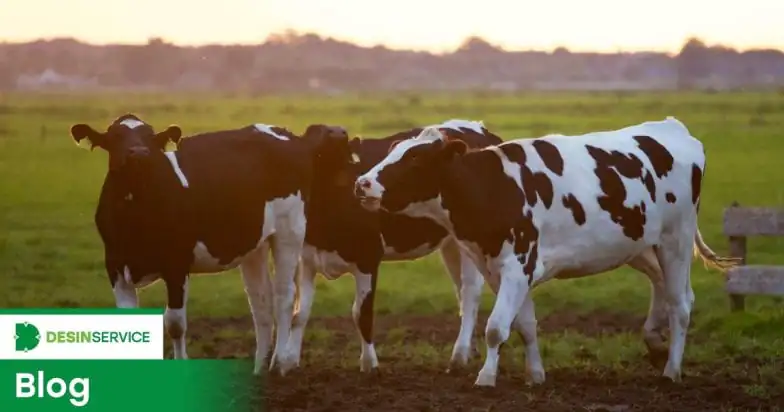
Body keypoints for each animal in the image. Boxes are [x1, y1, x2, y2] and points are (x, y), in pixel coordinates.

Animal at [70, 114, 350, 374]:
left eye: (151, 137)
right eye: (115, 137)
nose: (139, 152)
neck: (136, 211)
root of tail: (291, 137)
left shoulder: (176, 264)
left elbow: (175, 323)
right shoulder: (115, 265)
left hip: (289, 231)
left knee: (284, 296)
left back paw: (279, 365)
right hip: (254, 245)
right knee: (261, 301)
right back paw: (259, 369)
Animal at [284, 119, 506, 374]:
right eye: (314, 132)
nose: (339, 132)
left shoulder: (368, 258)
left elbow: (362, 313)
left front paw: (369, 364)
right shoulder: (307, 260)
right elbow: (299, 313)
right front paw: (289, 361)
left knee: (470, 292)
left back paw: (459, 355)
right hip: (452, 243)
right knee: (461, 291)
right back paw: (470, 349)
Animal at [356, 117, 740, 388]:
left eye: (414, 160)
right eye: (391, 152)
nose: (362, 183)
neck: (495, 187)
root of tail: (672, 127)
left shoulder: (517, 265)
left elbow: (496, 327)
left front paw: (486, 378)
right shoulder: (503, 270)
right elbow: (524, 325)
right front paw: (535, 375)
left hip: (676, 240)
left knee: (681, 304)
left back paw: (672, 369)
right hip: (641, 245)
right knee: (663, 285)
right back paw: (655, 342)